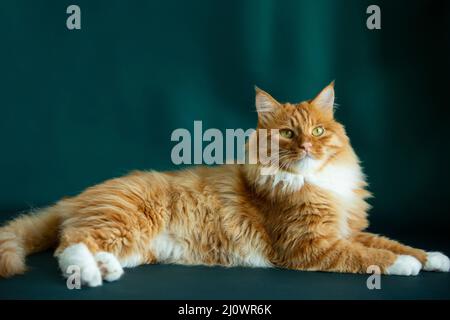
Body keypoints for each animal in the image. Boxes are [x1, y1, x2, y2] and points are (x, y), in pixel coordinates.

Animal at [0, 82, 450, 288]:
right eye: (288, 134)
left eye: (319, 131)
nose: (306, 145)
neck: (315, 182)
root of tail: (76, 196)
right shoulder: (311, 245)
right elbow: (367, 256)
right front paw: (405, 266)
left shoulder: (349, 229)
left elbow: (390, 242)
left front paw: (433, 257)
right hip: (127, 218)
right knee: (70, 244)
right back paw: (91, 275)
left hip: (136, 241)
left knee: (84, 247)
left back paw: (107, 269)